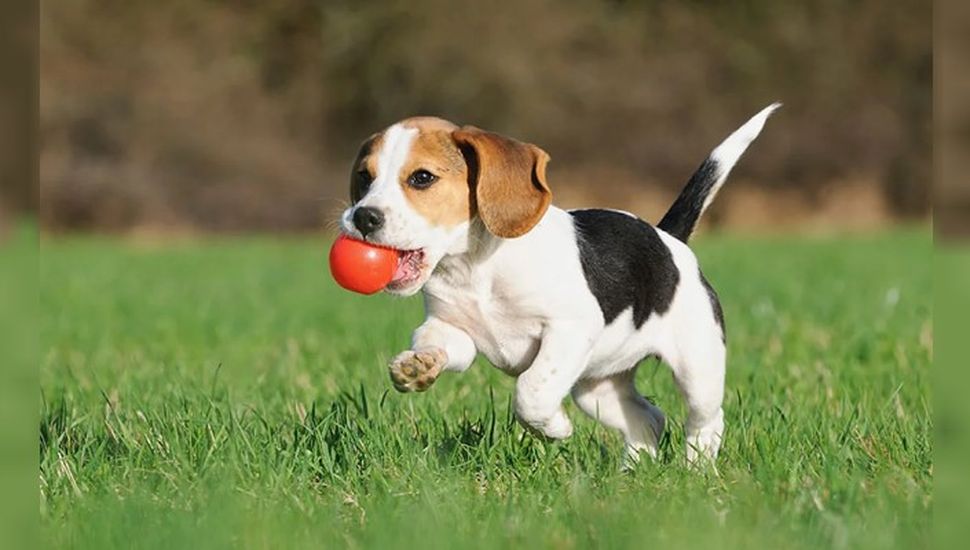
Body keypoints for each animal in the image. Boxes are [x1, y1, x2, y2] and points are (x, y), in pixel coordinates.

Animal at [340, 104, 780, 466]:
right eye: (364, 177)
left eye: (422, 178)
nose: (362, 217)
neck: (475, 267)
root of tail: (667, 238)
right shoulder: (454, 330)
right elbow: (437, 342)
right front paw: (418, 366)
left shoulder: (569, 329)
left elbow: (531, 391)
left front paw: (555, 429)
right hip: (597, 388)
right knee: (649, 419)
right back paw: (632, 473)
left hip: (697, 368)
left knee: (706, 420)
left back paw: (697, 470)